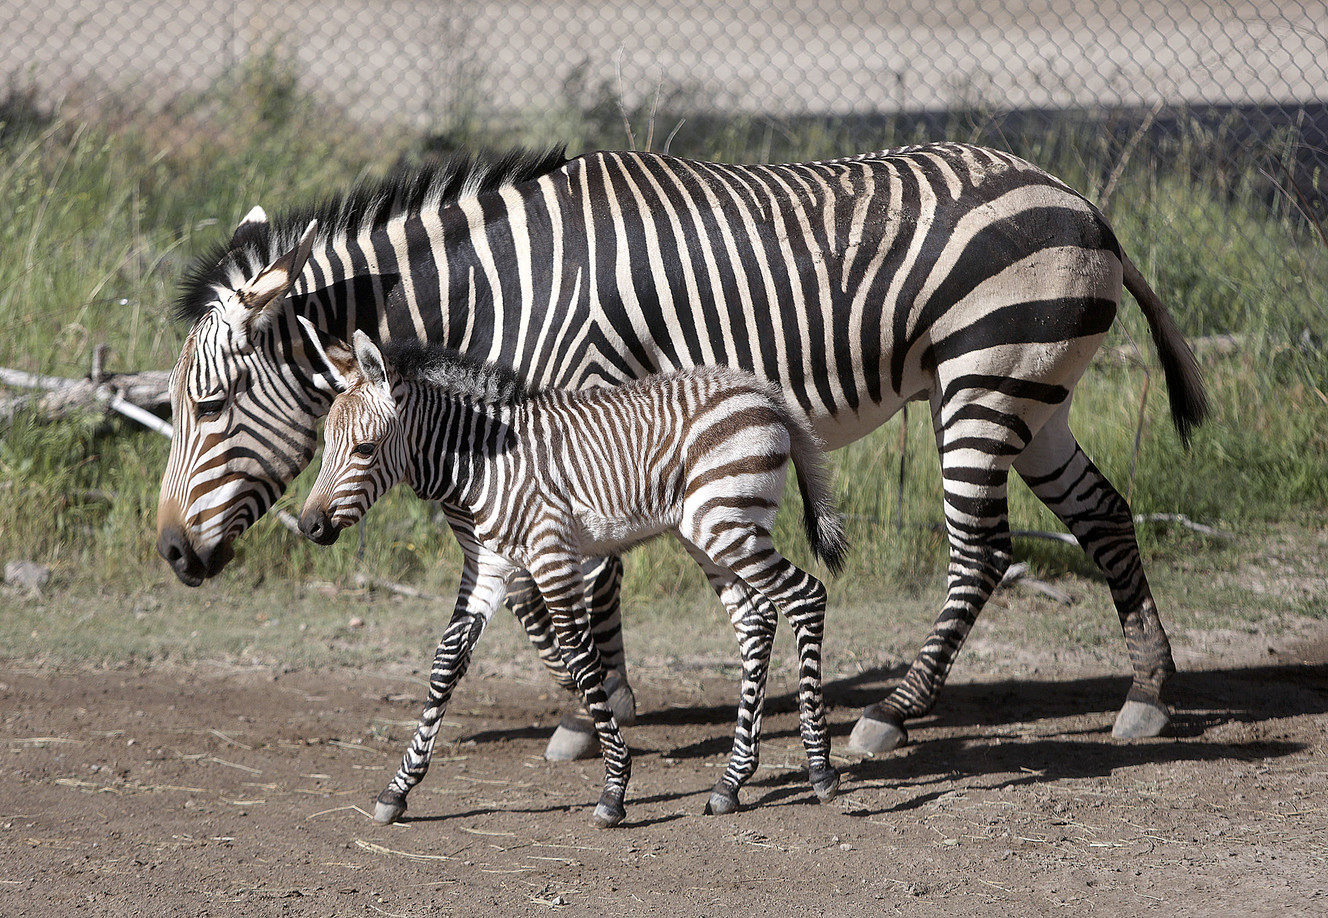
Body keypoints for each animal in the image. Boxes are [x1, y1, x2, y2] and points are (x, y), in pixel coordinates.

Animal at [155, 141, 1208, 758]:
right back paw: (1149, 692)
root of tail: (1082, 200)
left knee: (981, 550)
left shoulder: (585, 402)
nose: (169, 552)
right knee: (1104, 513)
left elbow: (577, 581)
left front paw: (589, 710)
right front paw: (600, 695)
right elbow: (549, 583)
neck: (501, 292)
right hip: (1036, 392)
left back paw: (894, 712)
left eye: (208, 405)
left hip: (985, 380)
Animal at [295, 321, 847, 826]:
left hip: (728, 524)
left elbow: (581, 661)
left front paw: (614, 789)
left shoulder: (552, 555)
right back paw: (731, 782)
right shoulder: (486, 568)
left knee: (806, 596)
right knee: (756, 623)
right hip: (708, 537)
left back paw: (821, 770)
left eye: (364, 449)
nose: (308, 526)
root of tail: (763, 391)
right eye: (326, 444)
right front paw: (399, 788)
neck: (479, 464)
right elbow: (446, 662)